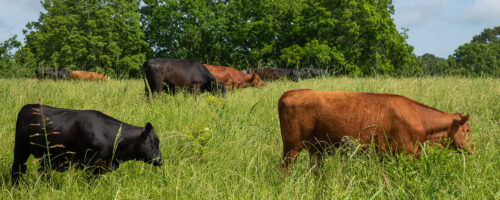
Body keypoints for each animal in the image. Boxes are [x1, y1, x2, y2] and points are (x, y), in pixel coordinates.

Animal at [10, 104, 162, 184]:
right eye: (154, 142)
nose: (160, 160)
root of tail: (28, 106)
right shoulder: (90, 164)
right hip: (21, 149)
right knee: (17, 169)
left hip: (45, 158)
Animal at [280, 89, 474, 172]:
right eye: (468, 130)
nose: (473, 148)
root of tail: (290, 93)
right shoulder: (401, 153)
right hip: (291, 148)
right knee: (283, 170)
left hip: (315, 149)